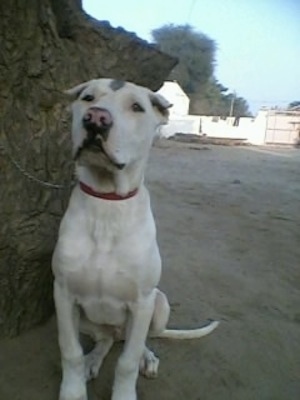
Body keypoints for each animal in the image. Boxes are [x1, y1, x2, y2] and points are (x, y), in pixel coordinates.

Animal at [52, 79, 218, 400]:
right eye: (87, 97)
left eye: (137, 107)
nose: (96, 118)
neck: (107, 204)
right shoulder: (63, 294)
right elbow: (70, 350)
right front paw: (73, 390)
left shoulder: (142, 302)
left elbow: (126, 362)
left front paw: (125, 392)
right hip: (92, 322)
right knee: (105, 340)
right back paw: (93, 360)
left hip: (159, 304)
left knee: (138, 342)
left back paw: (147, 357)